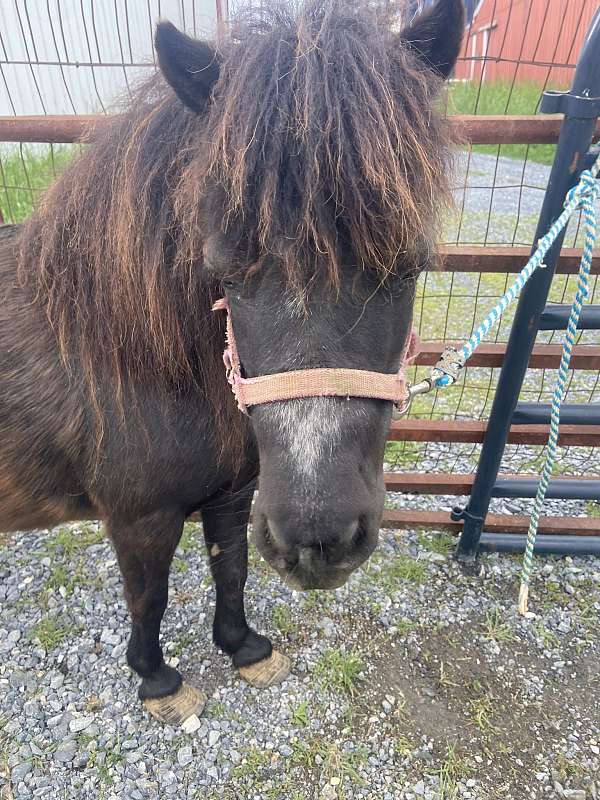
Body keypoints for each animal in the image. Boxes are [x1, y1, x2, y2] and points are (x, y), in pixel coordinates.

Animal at [0, 0, 464, 723]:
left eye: (410, 262)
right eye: (224, 270)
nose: (319, 539)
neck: (128, 361)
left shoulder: (235, 494)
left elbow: (232, 565)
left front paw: (243, 647)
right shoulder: (138, 518)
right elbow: (150, 595)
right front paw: (157, 680)